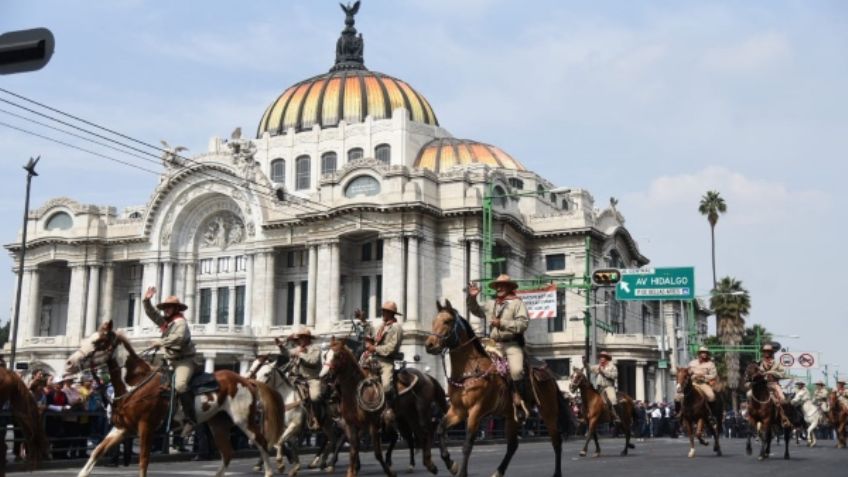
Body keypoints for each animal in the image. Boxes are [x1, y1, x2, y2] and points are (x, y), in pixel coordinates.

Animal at [64, 320, 282, 476]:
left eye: (98, 342)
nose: (68, 363)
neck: (135, 384)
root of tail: (246, 380)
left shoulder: (146, 427)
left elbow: (143, 462)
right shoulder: (122, 428)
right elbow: (96, 452)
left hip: (243, 420)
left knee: (262, 443)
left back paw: (268, 471)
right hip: (218, 423)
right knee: (228, 453)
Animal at [424, 300, 576, 476]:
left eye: (447, 321)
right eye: (433, 321)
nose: (429, 345)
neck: (470, 369)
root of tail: (548, 373)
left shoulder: (476, 411)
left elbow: (467, 445)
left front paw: (461, 471)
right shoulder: (458, 410)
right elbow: (440, 430)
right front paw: (451, 464)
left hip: (548, 412)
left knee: (556, 441)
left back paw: (556, 473)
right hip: (512, 416)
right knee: (513, 445)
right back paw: (498, 471)